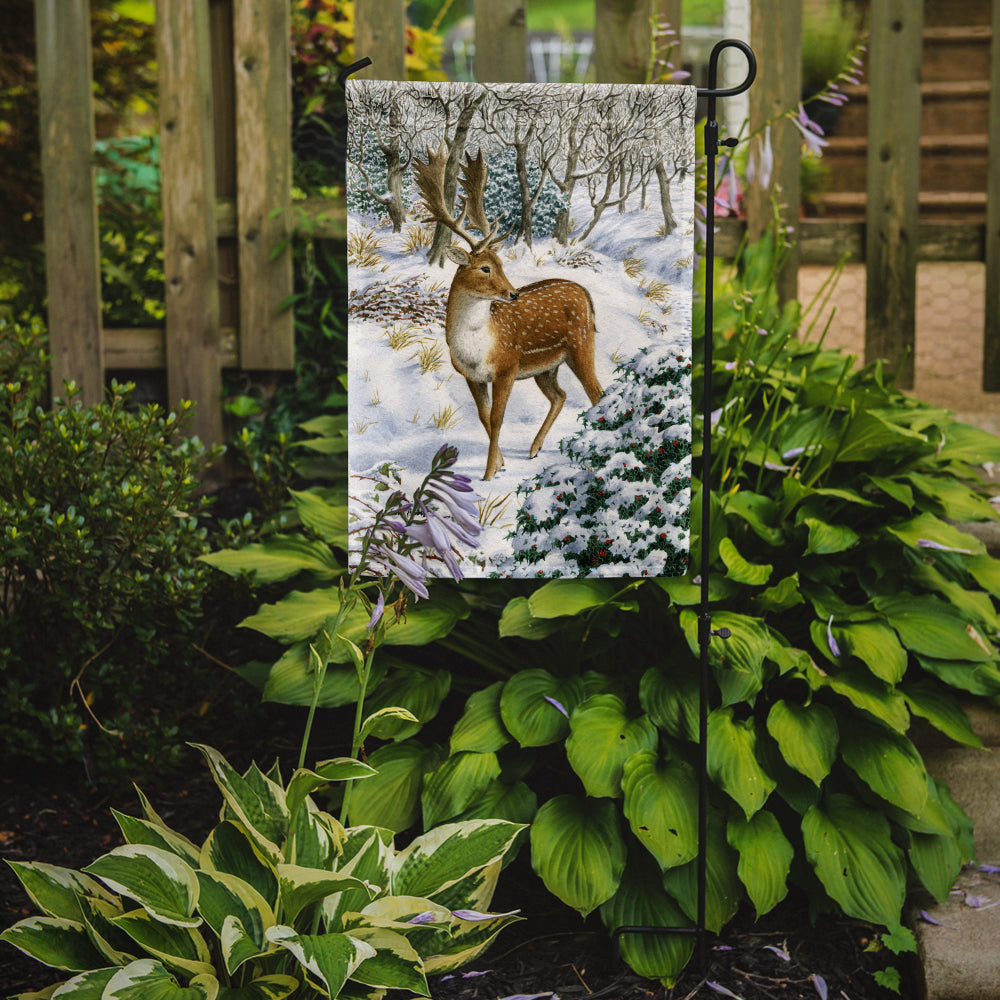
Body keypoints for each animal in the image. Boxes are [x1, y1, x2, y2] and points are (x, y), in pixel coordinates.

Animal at [412, 143, 600, 482]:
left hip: (581, 344)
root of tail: (584, 293)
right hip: (546, 367)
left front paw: (488, 474)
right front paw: (499, 464)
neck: (477, 347)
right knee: (561, 395)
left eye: (501, 264)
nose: (513, 293)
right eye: (485, 268)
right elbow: (484, 417)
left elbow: (498, 419)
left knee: (597, 393)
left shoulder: (507, 367)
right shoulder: (471, 376)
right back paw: (534, 449)